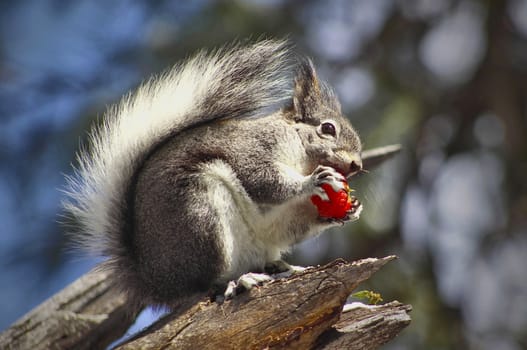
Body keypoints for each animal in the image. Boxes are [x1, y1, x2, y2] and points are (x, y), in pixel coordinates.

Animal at [62, 39, 392, 314]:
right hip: (198, 214)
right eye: (327, 128)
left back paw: (280, 269)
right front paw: (313, 182)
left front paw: (349, 210)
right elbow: (263, 181)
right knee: (205, 286)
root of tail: (156, 282)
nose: (356, 165)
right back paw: (237, 283)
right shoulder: (251, 150)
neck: (299, 152)